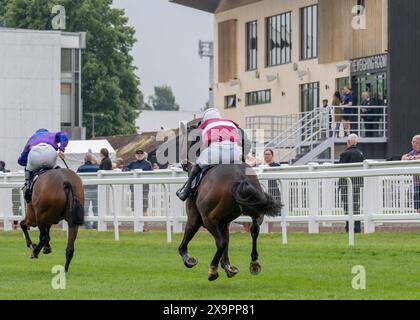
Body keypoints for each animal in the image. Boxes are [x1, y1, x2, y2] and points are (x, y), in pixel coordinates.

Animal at [177, 121, 282, 282]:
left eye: (182, 141)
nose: (183, 164)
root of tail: (239, 177)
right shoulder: (224, 222)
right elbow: (227, 240)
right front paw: (227, 265)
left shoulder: (195, 217)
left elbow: (186, 240)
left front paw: (188, 259)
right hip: (255, 211)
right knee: (254, 230)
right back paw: (254, 263)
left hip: (208, 218)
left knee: (220, 242)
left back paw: (212, 270)